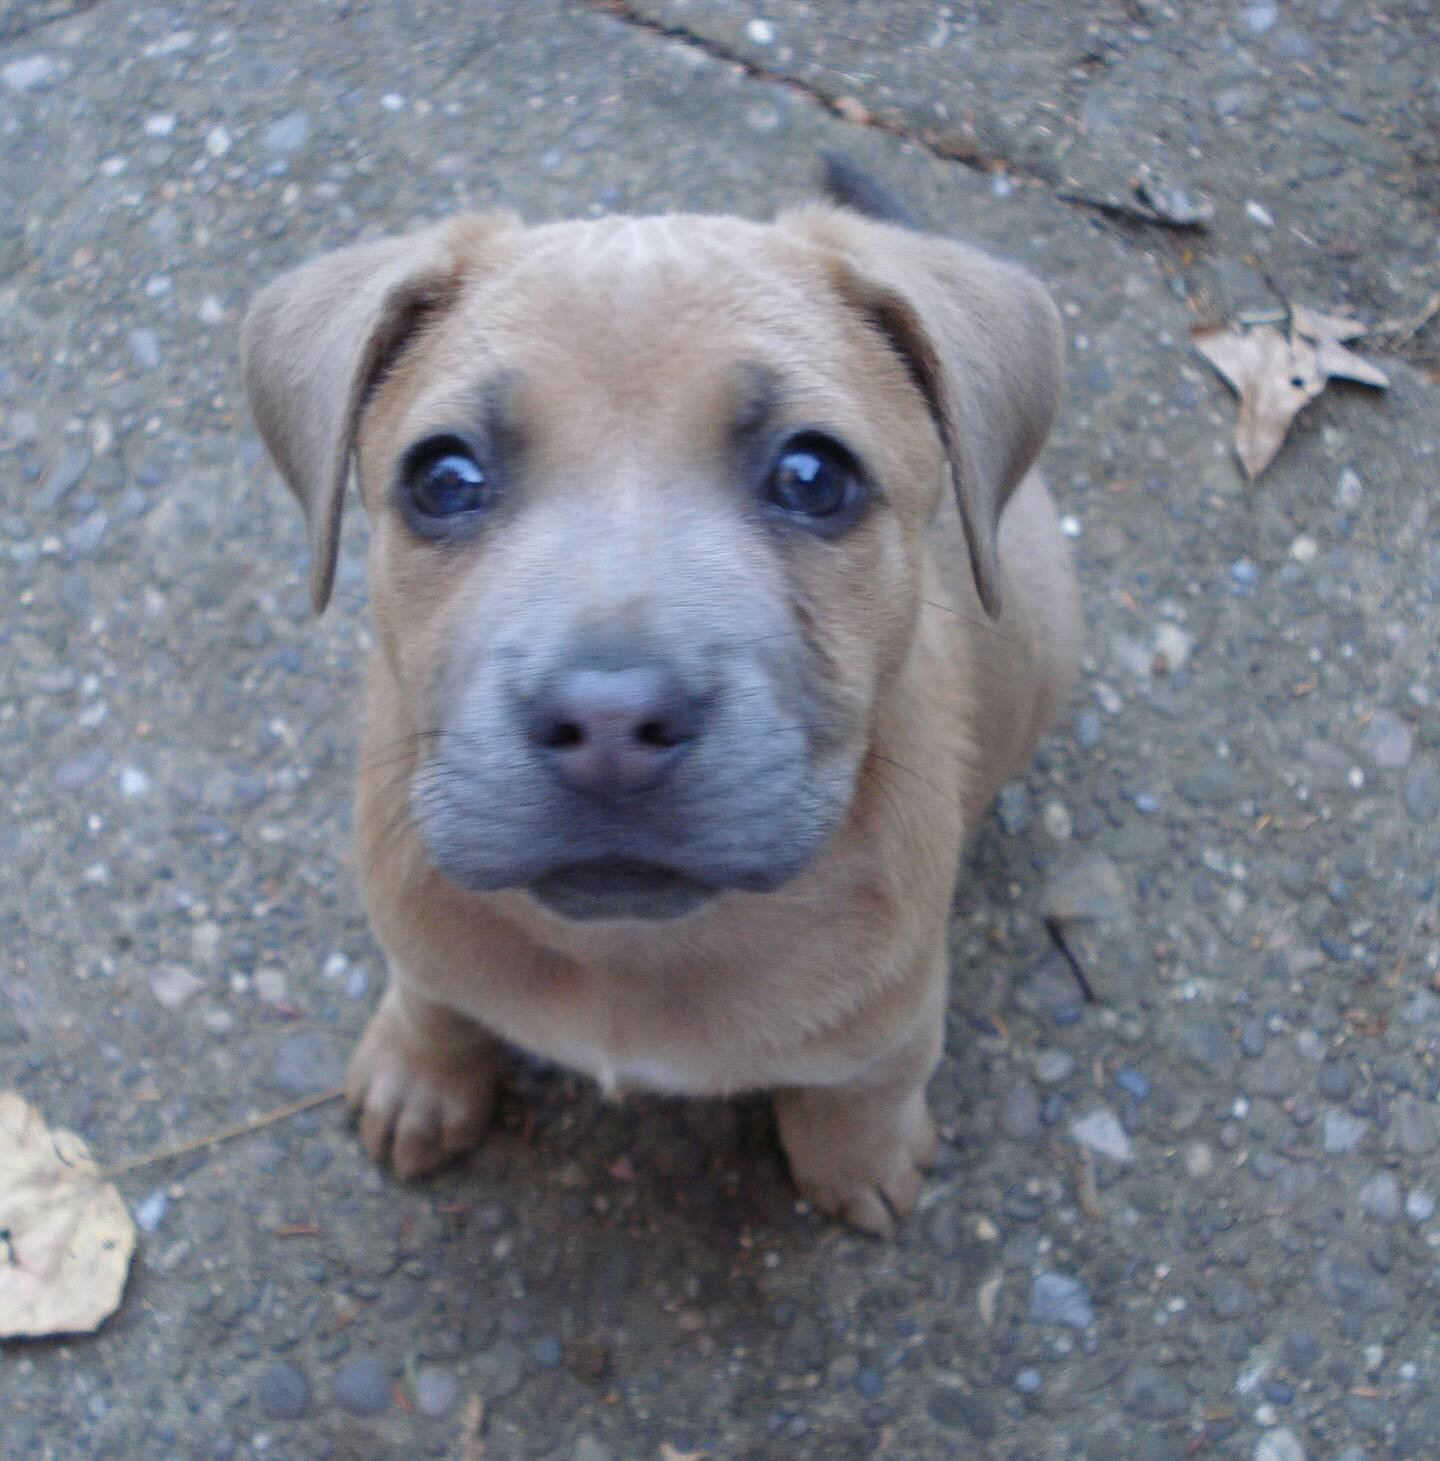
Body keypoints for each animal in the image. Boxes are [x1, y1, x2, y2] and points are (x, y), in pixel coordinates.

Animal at [243, 162, 1074, 1233]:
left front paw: (861, 1161)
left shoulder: (894, 1016)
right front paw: (419, 1075)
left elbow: (859, 1091)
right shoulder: (416, 930)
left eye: (813, 474)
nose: (609, 721)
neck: (631, 957)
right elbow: (434, 998)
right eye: (444, 477)